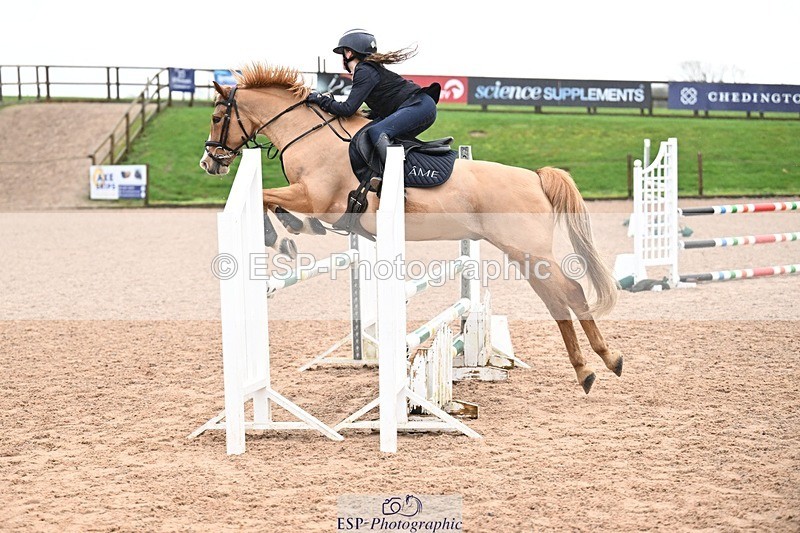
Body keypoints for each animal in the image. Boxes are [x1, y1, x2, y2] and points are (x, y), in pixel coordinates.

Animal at [198, 63, 623, 394]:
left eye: (217, 118)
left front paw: (277, 235)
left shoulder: (315, 198)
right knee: (560, 300)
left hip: (530, 251)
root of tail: (535, 177)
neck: (311, 136)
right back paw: (593, 367)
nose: (209, 163)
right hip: (523, 254)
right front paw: (283, 231)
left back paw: (602, 362)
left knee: (569, 293)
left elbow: (266, 196)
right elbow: (273, 201)